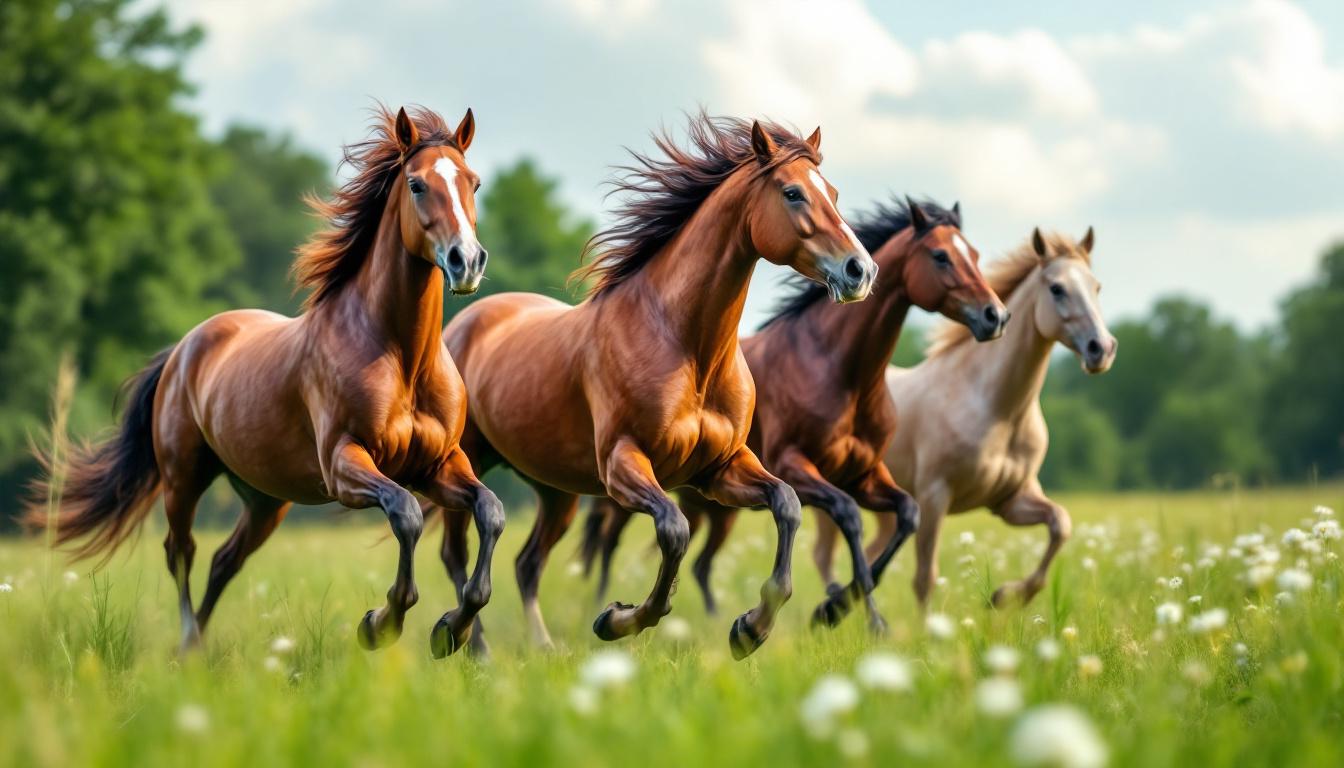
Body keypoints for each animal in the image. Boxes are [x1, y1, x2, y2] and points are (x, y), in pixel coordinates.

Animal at [26, 106, 503, 657]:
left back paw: (194, 653)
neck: (401, 359)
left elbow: (490, 511)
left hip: (265, 498)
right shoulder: (345, 465)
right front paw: (380, 625)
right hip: (183, 479)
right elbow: (405, 515)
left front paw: (451, 629)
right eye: (417, 184)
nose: (466, 261)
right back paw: (188, 643)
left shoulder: (438, 464)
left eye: (474, 182)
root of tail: (184, 349)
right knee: (181, 552)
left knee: (224, 560)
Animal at [430, 114, 877, 660]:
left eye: (831, 191)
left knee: (527, 563)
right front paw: (617, 620)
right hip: (465, 462)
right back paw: (463, 641)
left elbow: (787, 506)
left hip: (555, 491)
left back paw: (542, 648)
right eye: (792, 193)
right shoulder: (625, 465)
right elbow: (674, 530)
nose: (861, 270)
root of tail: (465, 323)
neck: (686, 347)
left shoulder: (720, 469)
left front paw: (750, 629)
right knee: (457, 552)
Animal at [584, 197, 1008, 632]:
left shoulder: (863, 474)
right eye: (941, 256)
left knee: (699, 564)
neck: (840, 371)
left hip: (712, 507)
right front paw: (851, 614)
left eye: (974, 254)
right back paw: (603, 607)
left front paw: (834, 609)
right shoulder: (794, 467)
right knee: (608, 541)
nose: (995, 315)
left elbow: (908, 514)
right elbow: (849, 516)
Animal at [812, 227, 1116, 612]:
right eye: (1057, 288)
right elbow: (924, 578)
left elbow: (1060, 524)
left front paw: (1004, 597)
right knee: (825, 555)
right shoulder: (934, 497)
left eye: (1096, 287)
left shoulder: (1010, 501)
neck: (997, 410)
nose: (1101, 349)